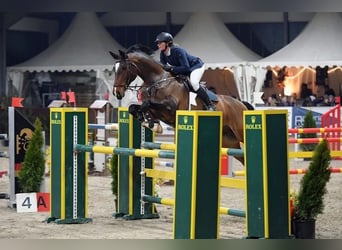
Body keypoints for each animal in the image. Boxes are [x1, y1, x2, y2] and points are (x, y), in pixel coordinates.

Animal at [110, 44, 254, 164]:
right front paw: (150, 122)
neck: (158, 81)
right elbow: (134, 107)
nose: (117, 93)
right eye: (114, 69)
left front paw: (151, 123)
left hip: (240, 132)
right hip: (228, 141)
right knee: (243, 158)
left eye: (124, 68)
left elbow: (147, 103)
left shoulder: (170, 107)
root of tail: (240, 103)